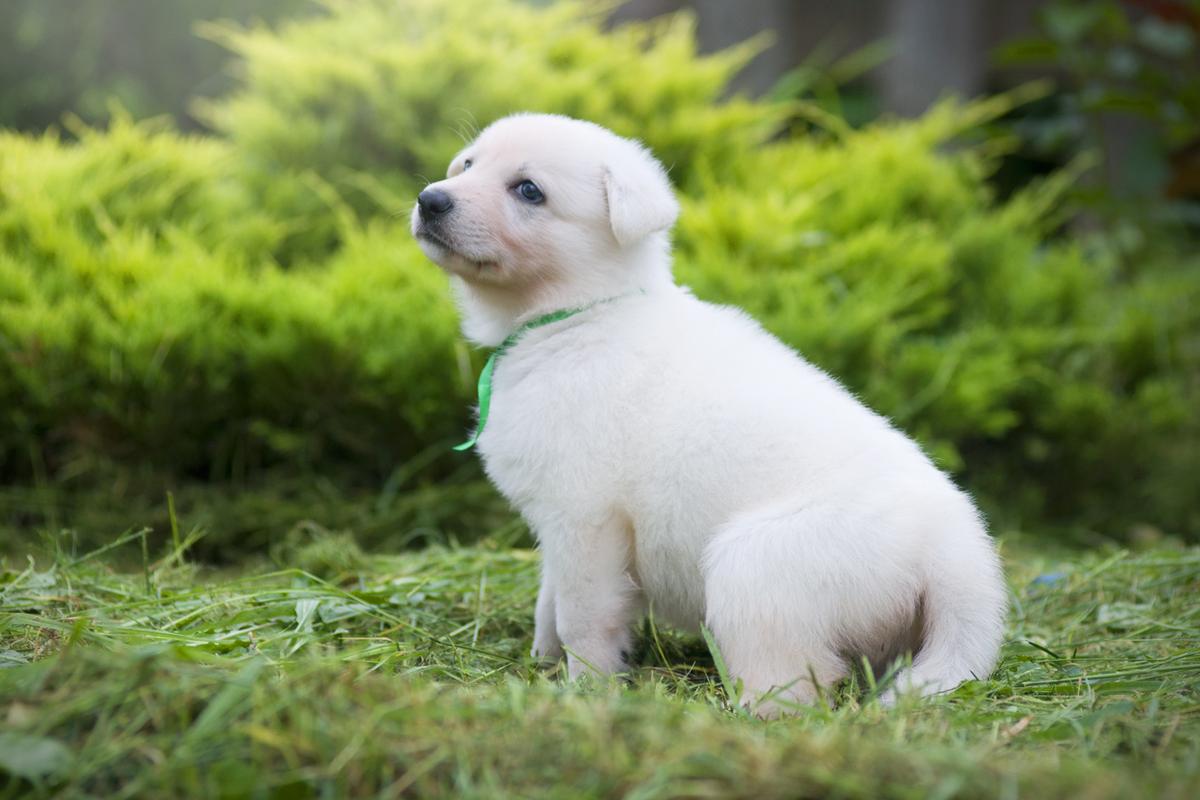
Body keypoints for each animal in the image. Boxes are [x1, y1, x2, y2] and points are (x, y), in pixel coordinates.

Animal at [410, 112, 1003, 714]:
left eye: (529, 190)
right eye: (468, 164)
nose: (430, 199)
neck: (579, 315)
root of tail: (959, 559)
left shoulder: (586, 518)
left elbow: (582, 617)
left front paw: (588, 690)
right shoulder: (557, 520)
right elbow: (547, 601)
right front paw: (542, 662)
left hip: (756, 568)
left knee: (795, 687)